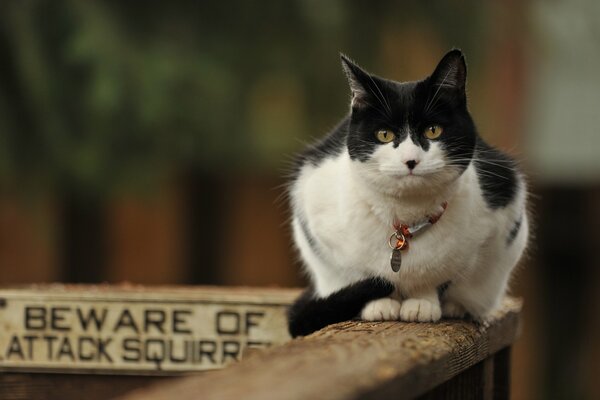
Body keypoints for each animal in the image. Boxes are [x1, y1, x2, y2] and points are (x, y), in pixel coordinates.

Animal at [288, 49, 528, 338]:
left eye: (433, 130)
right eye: (384, 134)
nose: (410, 160)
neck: (405, 219)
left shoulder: (497, 219)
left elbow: (439, 277)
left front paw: (422, 303)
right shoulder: (318, 218)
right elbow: (357, 272)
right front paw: (379, 304)